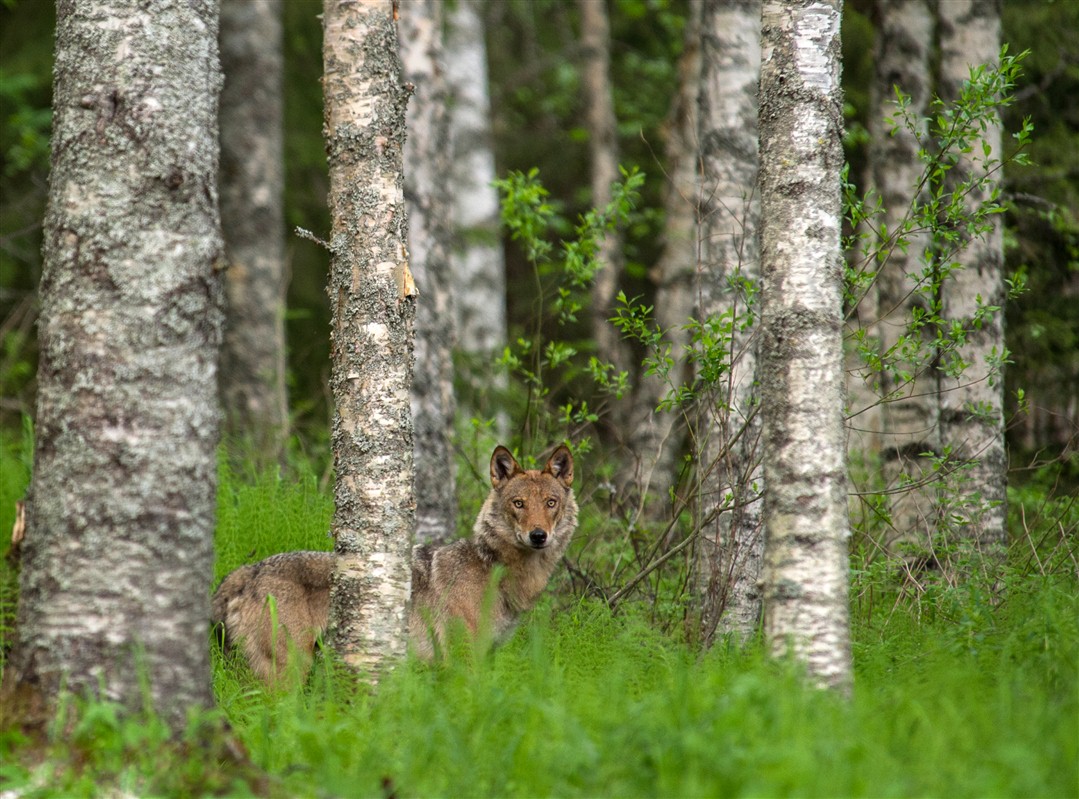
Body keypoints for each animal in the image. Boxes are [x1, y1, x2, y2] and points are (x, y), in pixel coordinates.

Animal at [212, 442, 582, 681]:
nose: (538, 535)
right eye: (519, 504)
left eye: (550, 503)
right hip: (288, 672)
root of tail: (245, 572)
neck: (495, 570)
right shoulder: (463, 660)